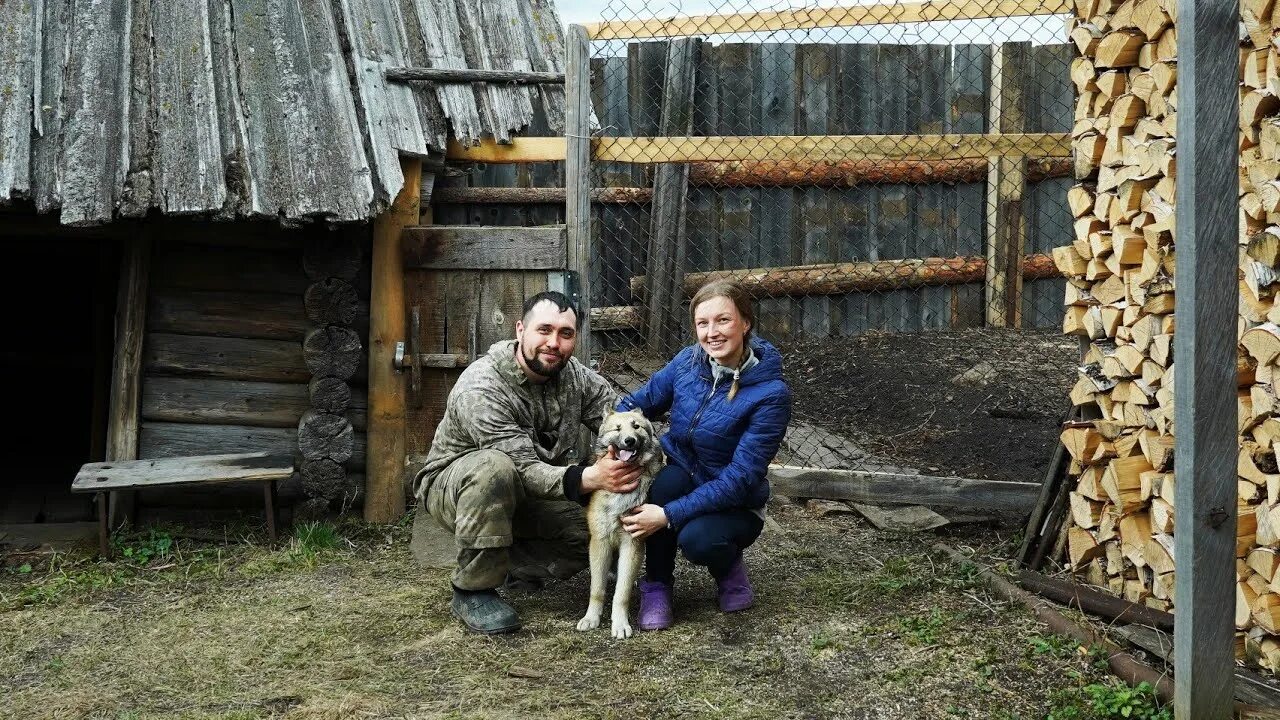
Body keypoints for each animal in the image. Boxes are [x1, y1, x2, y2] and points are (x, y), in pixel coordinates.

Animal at [576, 407, 665, 635]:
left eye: (636, 426)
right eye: (617, 428)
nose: (629, 441)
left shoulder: (632, 542)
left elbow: (621, 593)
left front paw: (620, 624)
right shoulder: (600, 542)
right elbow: (597, 589)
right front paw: (591, 618)